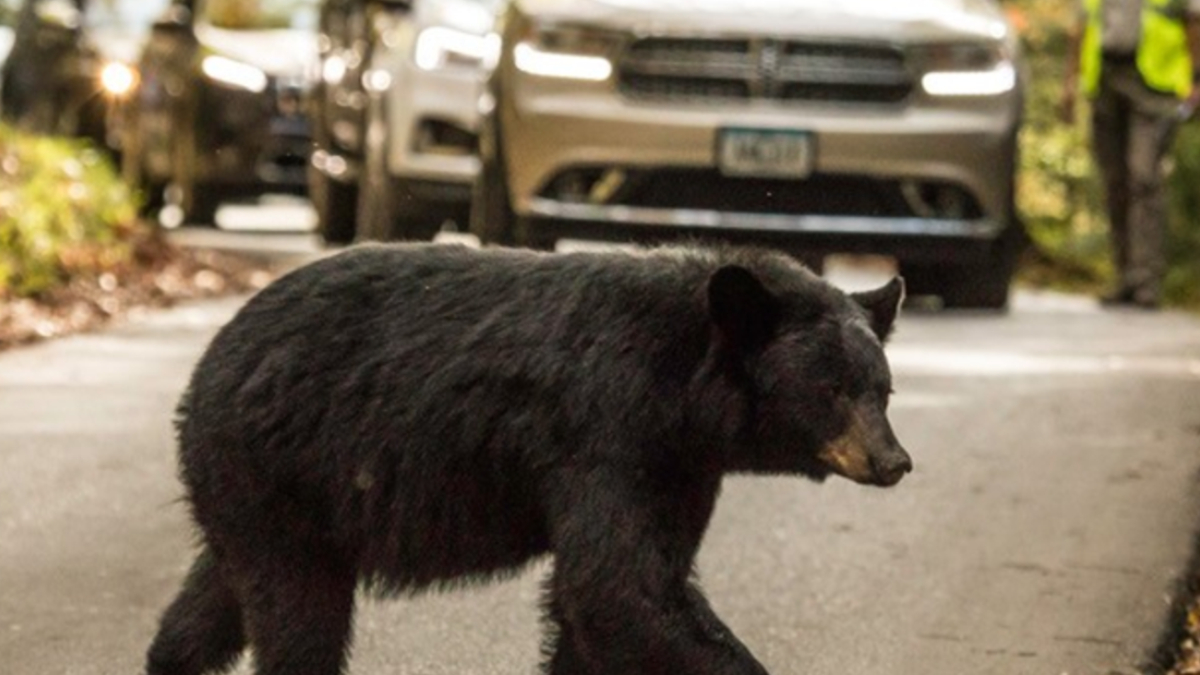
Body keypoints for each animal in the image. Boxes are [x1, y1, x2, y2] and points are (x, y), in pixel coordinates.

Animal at [144, 242, 911, 675]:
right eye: (831, 388)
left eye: (882, 388)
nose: (894, 461)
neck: (683, 384)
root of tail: (206, 365)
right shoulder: (606, 432)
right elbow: (617, 587)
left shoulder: (679, 466)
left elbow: (612, 593)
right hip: (278, 470)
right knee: (298, 618)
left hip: (264, 495)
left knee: (214, 600)